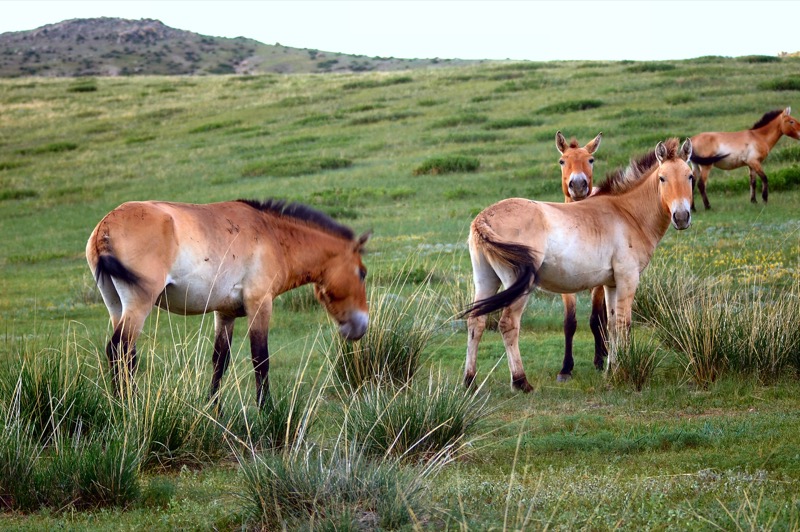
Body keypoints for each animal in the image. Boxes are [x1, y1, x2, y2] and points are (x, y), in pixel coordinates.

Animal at [88, 197, 372, 406]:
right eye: (362, 273)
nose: (361, 326)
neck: (271, 234)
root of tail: (105, 226)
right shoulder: (260, 304)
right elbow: (260, 358)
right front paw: (266, 408)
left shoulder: (225, 313)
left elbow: (219, 361)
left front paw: (213, 408)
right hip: (138, 305)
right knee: (120, 349)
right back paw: (129, 404)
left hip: (116, 306)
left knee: (126, 356)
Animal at [462, 139, 692, 392]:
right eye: (662, 178)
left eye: (690, 176)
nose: (682, 217)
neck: (627, 213)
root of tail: (483, 218)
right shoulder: (628, 278)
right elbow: (624, 324)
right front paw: (622, 372)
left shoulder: (611, 284)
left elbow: (610, 324)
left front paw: (610, 369)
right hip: (518, 286)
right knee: (508, 324)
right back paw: (521, 382)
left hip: (486, 280)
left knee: (475, 322)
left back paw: (469, 381)